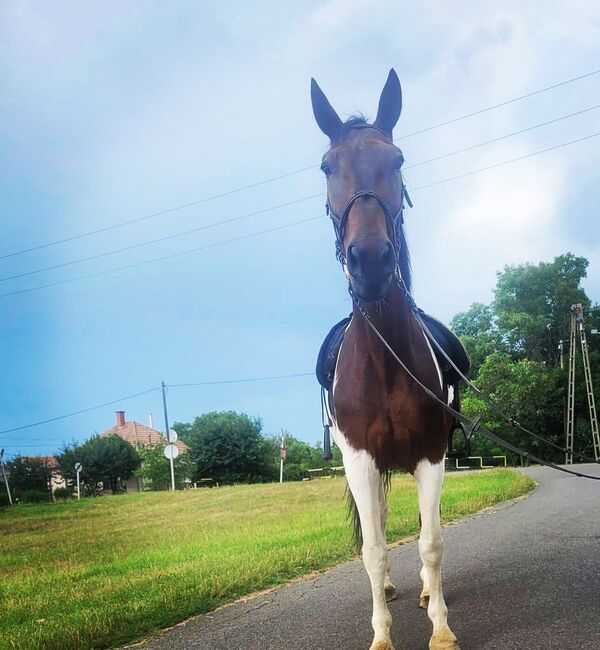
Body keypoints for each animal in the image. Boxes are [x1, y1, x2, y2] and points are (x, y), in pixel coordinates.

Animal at [312, 71, 462, 648]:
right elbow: (373, 550)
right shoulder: (360, 460)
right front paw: (381, 634)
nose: (371, 261)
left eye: (396, 159)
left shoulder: (431, 455)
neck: (385, 358)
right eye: (327, 166)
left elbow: (431, 540)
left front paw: (440, 627)